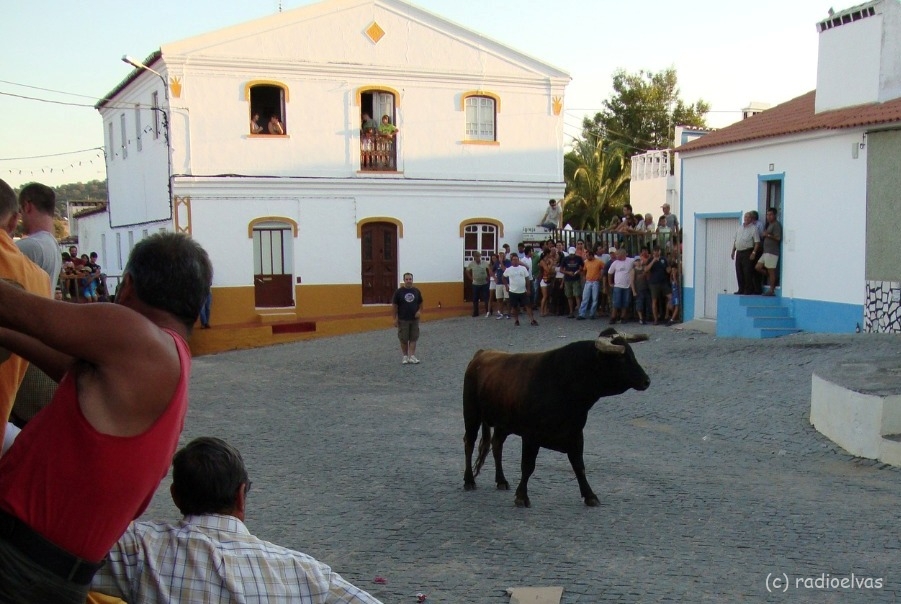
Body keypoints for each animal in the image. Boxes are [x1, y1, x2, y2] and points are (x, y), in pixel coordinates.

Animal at [464, 328, 648, 508]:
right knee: (469, 444)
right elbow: (528, 466)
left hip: (502, 424)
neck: (564, 382)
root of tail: (482, 353)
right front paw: (522, 496)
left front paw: (590, 495)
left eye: (632, 354)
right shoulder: (531, 436)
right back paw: (469, 480)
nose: (646, 381)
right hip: (471, 414)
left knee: (496, 445)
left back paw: (501, 480)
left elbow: (579, 466)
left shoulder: (575, 434)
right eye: (621, 358)